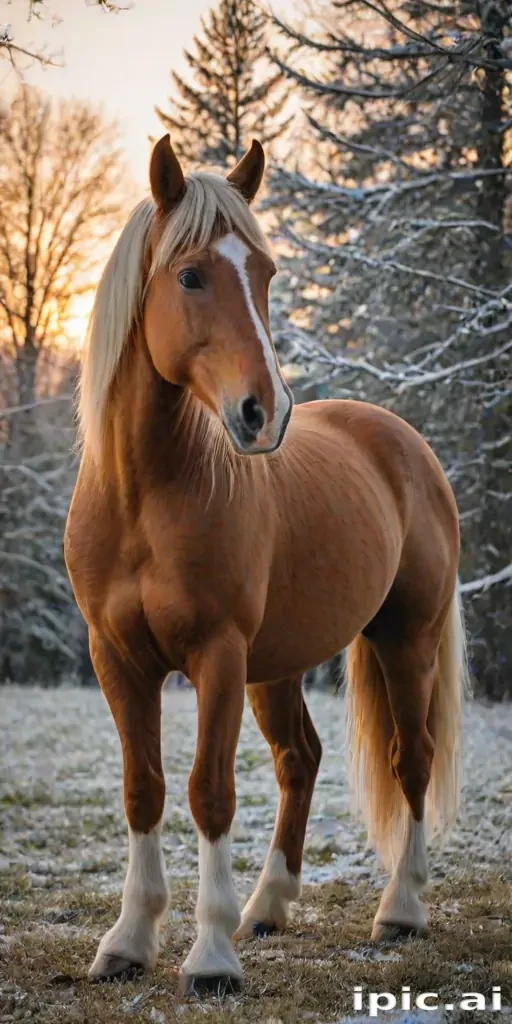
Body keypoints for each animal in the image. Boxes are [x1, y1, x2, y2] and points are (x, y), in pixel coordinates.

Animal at [64, 134, 468, 996]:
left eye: (268, 273)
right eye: (190, 275)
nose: (264, 414)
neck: (145, 495)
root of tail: (403, 442)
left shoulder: (217, 655)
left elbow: (209, 793)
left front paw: (211, 958)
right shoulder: (118, 659)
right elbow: (143, 789)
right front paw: (127, 944)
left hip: (404, 640)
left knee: (411, 759)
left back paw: (401, 910)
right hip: (276, 665)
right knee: (299, 760)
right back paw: (269, 907)